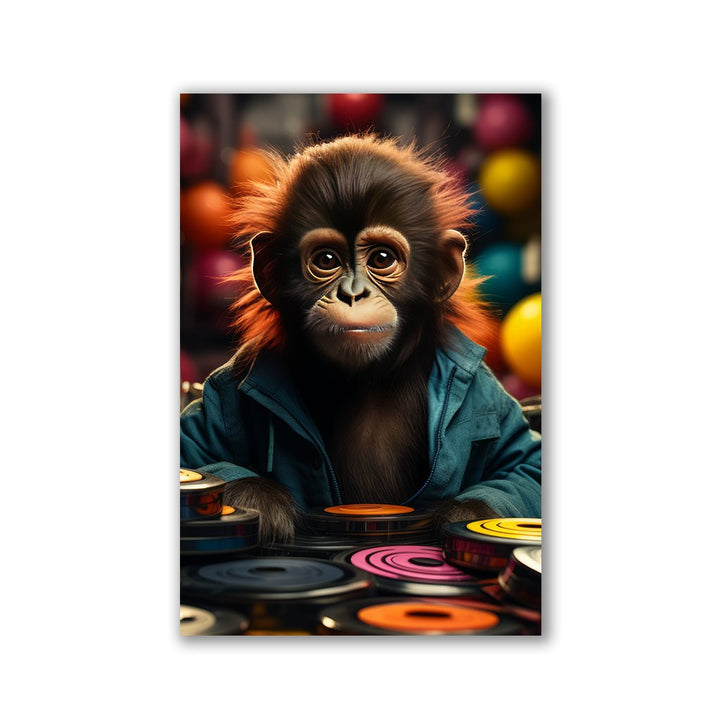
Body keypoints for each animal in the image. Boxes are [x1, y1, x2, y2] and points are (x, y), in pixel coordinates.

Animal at [180, 133, 541, 544]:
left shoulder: (485, 391)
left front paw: (467, 512)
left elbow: (525, 464)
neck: (366, 379)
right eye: (326, 260)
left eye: (382, 258)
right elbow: (195, 454)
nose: (353, 294)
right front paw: (258, 499)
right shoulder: (227, 385)